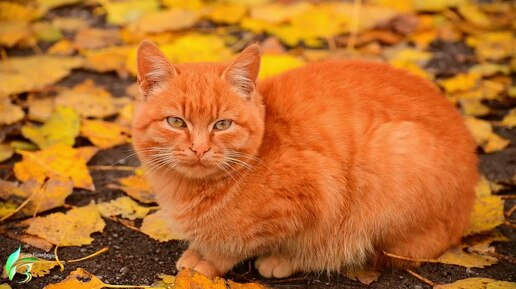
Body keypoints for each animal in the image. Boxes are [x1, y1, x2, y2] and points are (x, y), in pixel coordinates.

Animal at [131, 40, 478, 276]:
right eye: (176, 122)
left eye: (222, 125)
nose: (200, 149)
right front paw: (198, 250)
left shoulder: (315, 192)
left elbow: (245, 243)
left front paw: (211, 260)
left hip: (391, 160)